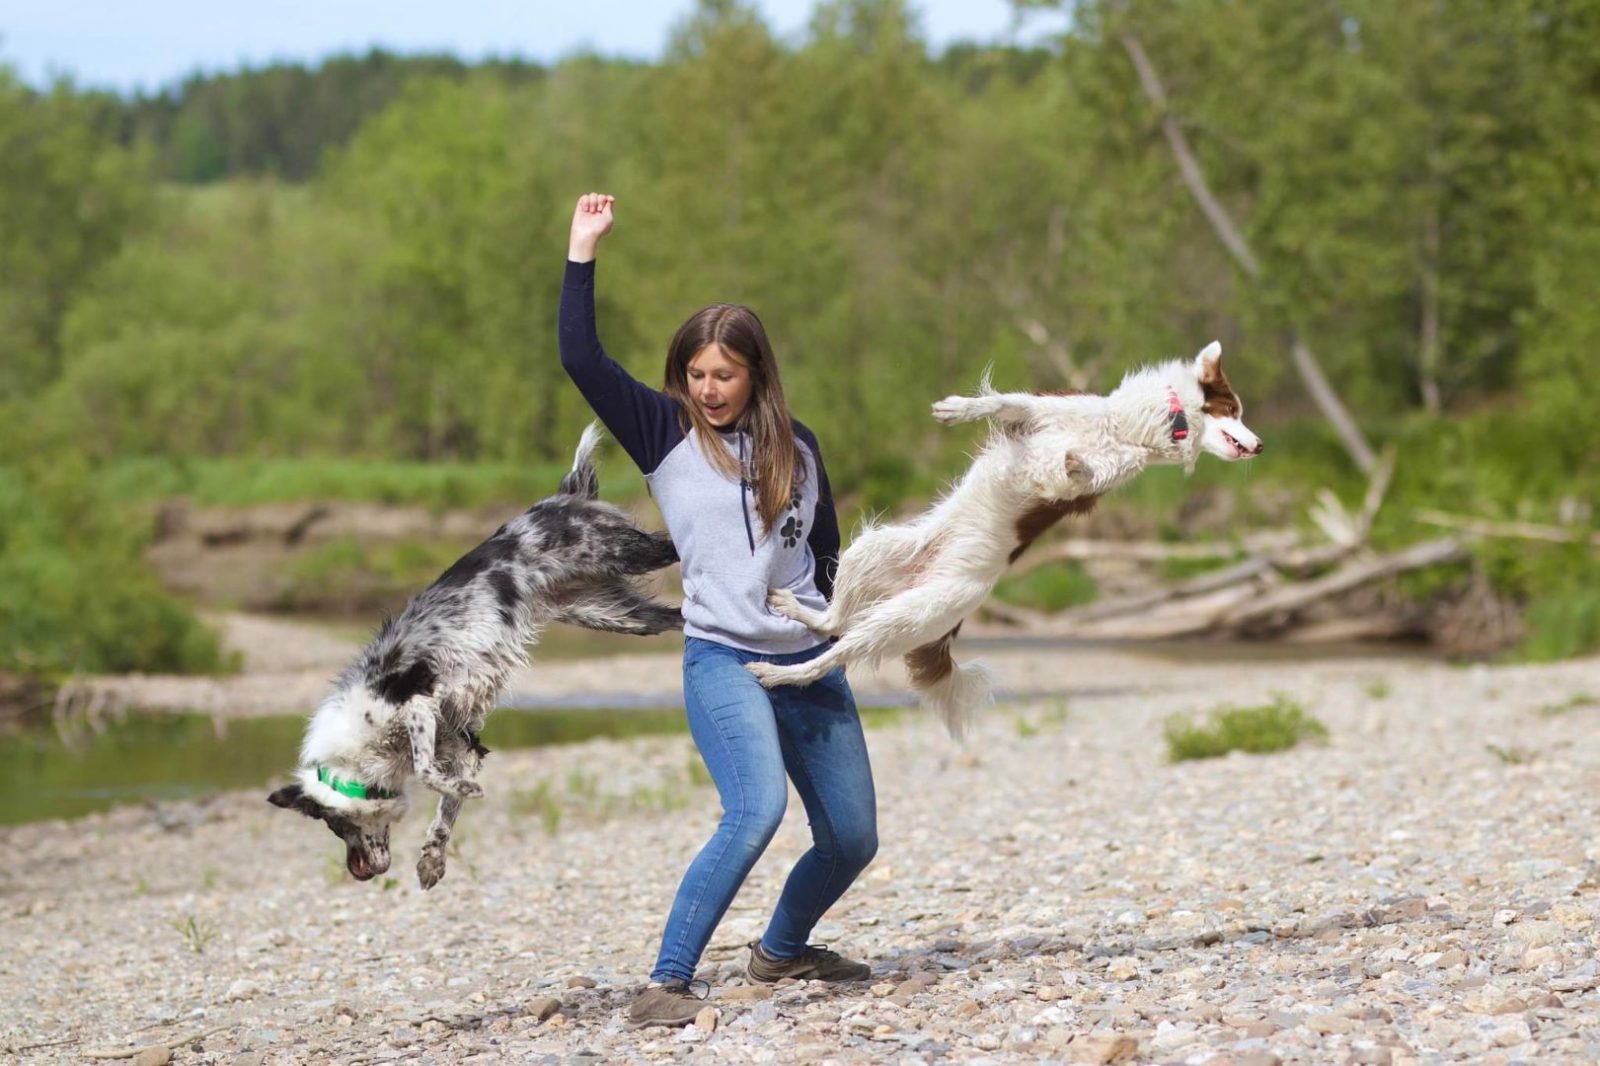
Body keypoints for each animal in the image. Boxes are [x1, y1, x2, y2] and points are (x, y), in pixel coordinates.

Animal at [268, 422, 681, 889]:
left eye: (333, 825)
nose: (356, 874)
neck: (362, 748)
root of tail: (562, 497)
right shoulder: (462, 746)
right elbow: (445, 811)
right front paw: (433, 857)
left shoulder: (418, 703)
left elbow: (428, 775)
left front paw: (460, 798)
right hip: (613, 615)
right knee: (677, 616)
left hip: (630, 554)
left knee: (679, 546)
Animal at [748, 344, 1260, 736]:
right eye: (1234, 410)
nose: (1259, 446)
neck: (1137, 428)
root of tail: (919, 583)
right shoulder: (1040, 412)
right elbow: (1002, 403)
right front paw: (958, 408)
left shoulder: (1090, 480)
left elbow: (1077, 473)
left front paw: (1075, 460)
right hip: (874, 549)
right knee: (832, 618)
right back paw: (794, 613)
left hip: (905, 616)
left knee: (833, 650)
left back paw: (777, 673)